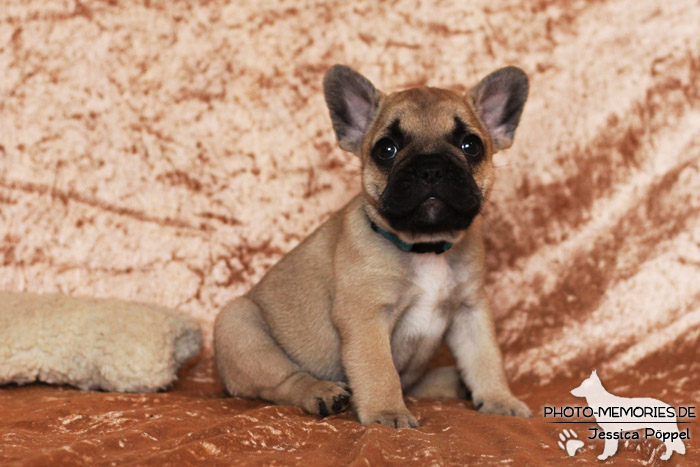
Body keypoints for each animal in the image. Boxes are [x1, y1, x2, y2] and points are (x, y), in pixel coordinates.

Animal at [213, 64, 532, 430]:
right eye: (386, 150)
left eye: (471, 145)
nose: (431, 167)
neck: (424, 246)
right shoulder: (366, 316)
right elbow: (379, 369)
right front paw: (387, 412)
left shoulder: (471, 311)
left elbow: (486, 358)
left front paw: (500, 399)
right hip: (238, 325)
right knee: (284, 380)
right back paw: (321, 392)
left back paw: (455, 382)